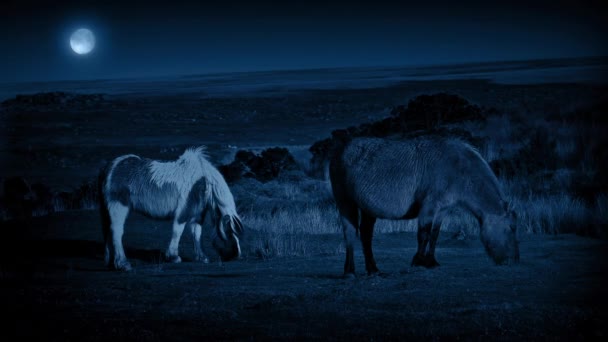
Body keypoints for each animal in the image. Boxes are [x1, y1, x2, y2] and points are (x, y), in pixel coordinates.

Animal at [99, 146, 242, 270]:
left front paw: (202, 257)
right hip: (118, 206)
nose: (237, 255)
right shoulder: (184, 212)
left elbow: (197, 234)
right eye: (229, 231)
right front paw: (173, 257)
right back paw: (123, 264)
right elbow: (177, 232)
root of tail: (112, 166)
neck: (204, 182)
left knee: (108, 231)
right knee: (116, 231)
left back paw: (110, 261)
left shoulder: (197, 215)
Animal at [330, 137, 520, 278]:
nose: (514, 260)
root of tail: (340, 149)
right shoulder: (429, 208)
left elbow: (434, 235)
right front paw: (419, 261)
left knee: (366, 235)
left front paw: (431, 261)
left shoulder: (442, 211)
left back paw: (373, 269)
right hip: (346, 203)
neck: (458, 167)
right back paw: (350, 271)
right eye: (511, 228)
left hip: (368, 210)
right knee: (349, 234)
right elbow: (424, 234)